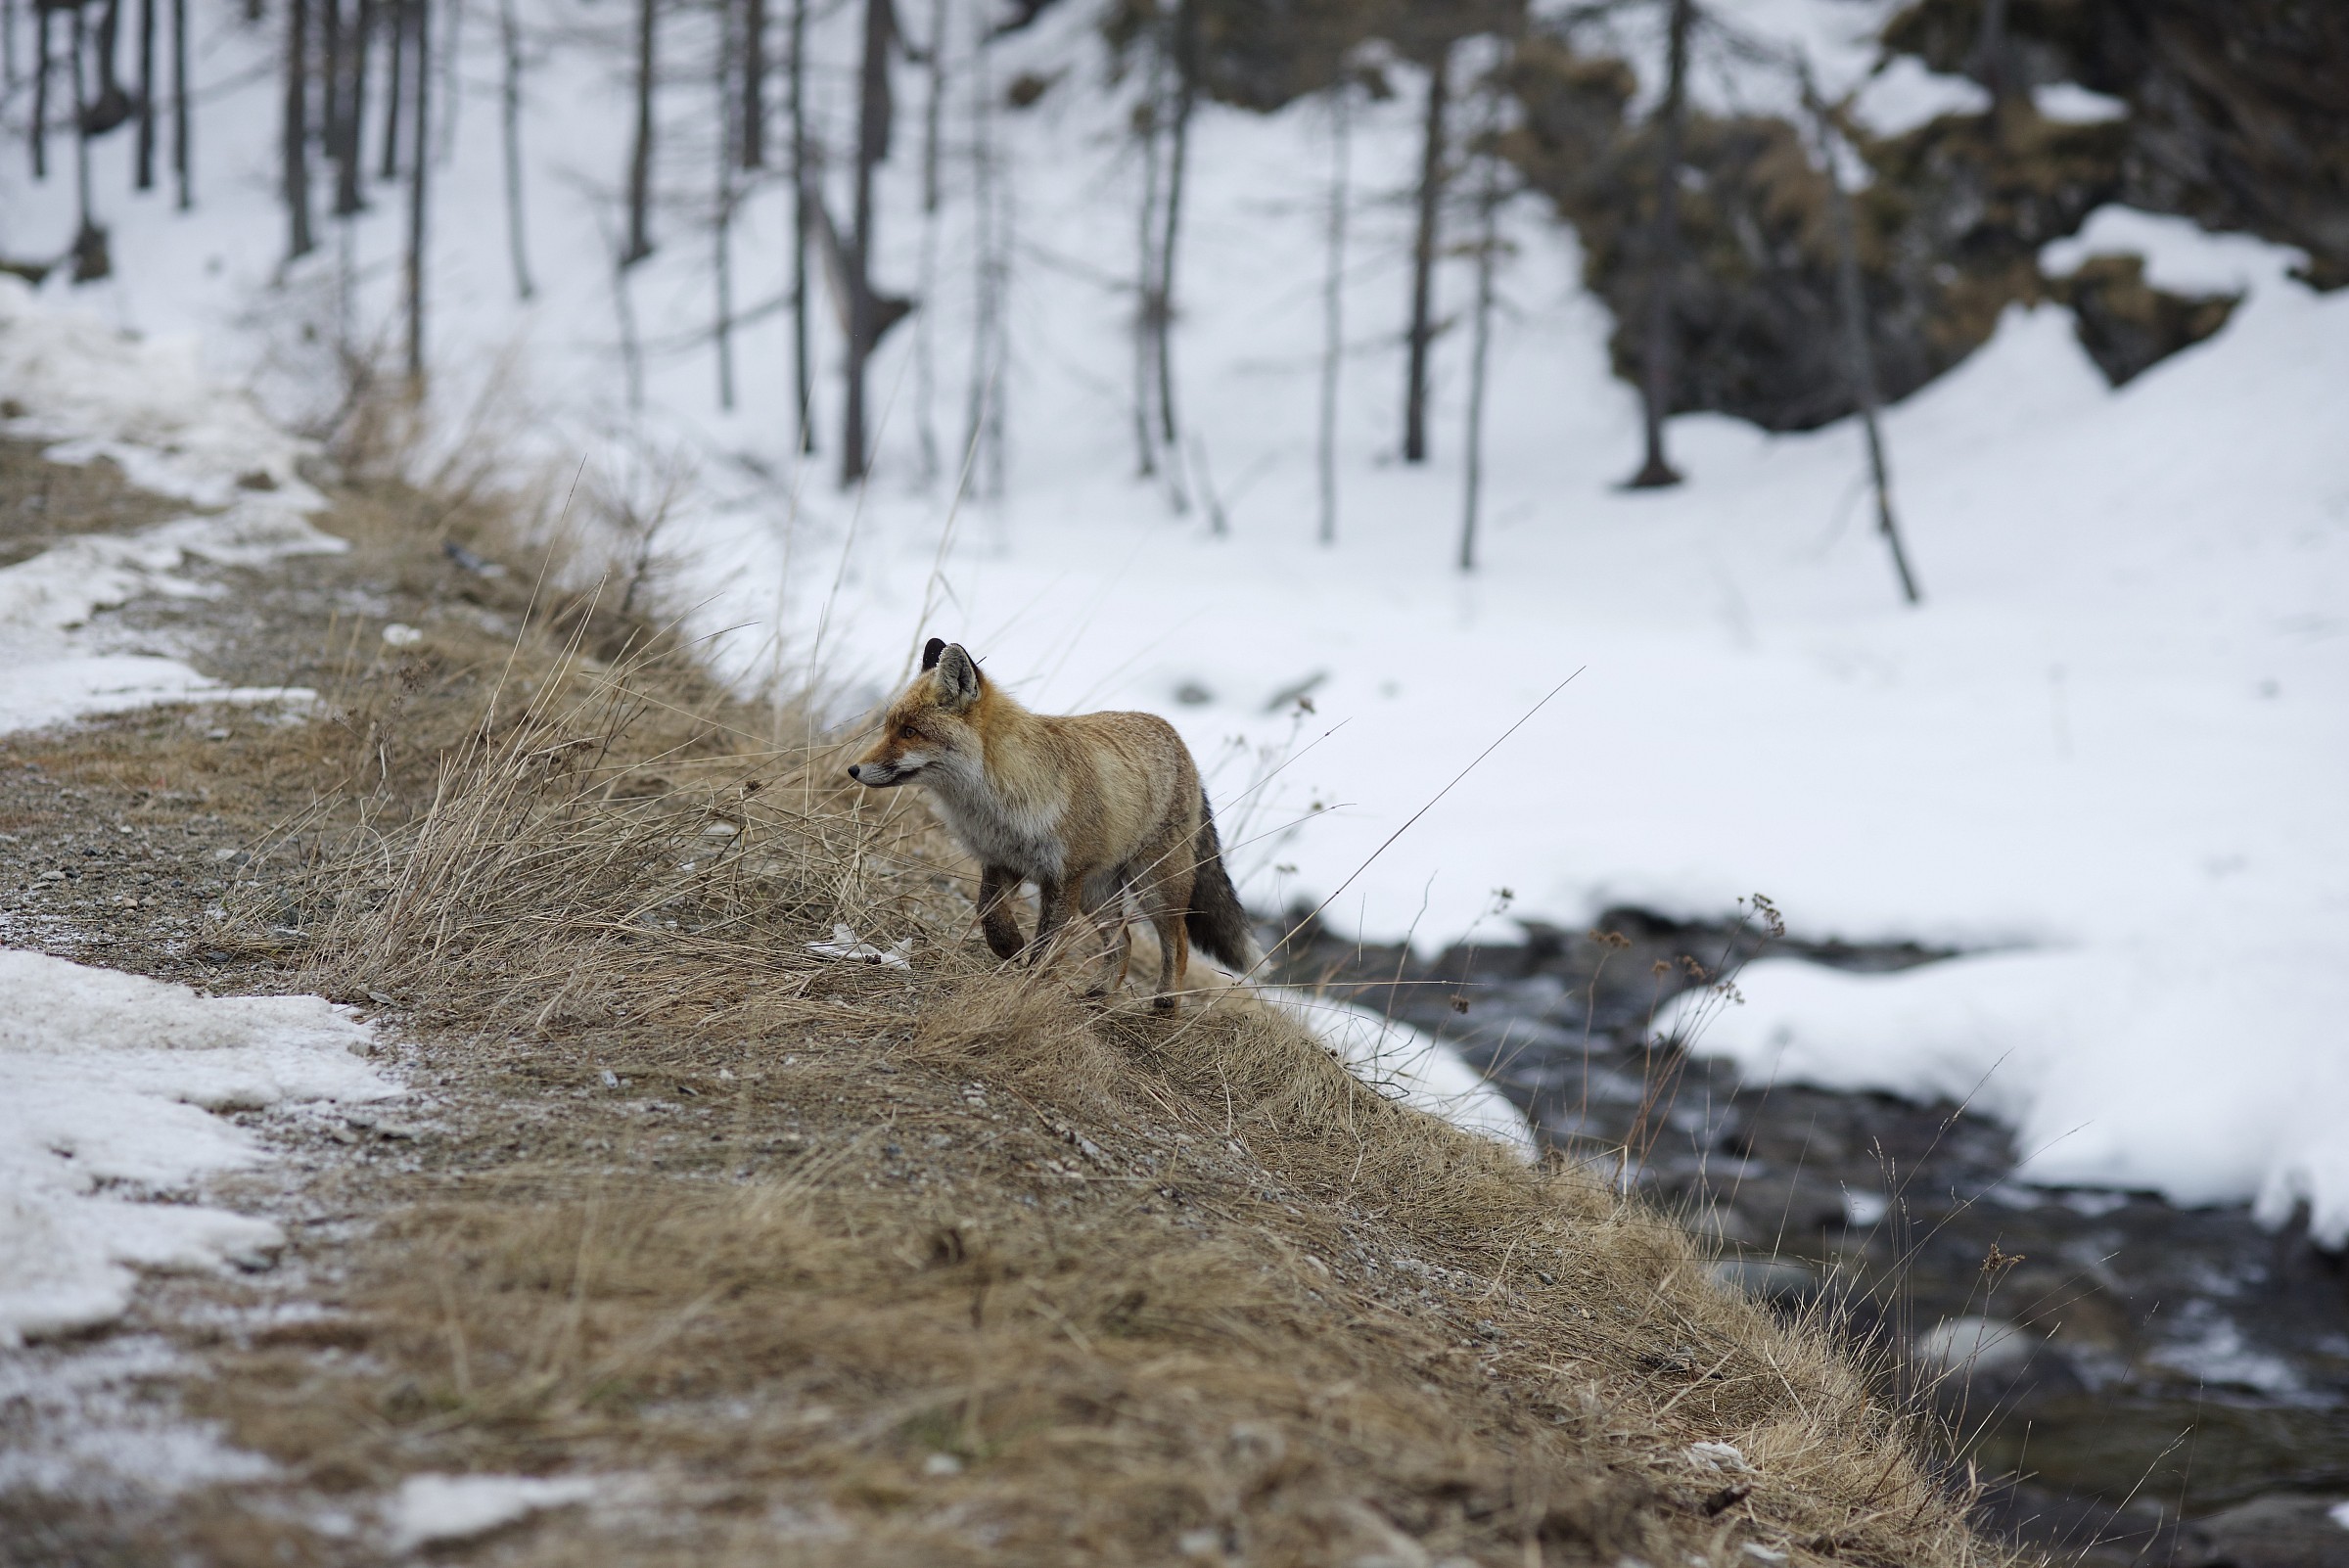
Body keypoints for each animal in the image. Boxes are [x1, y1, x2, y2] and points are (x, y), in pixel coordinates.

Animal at [847, 638, 1258, 1010]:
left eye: (909, 732)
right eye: (889, 727)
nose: (853, 769)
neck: (1000, 802)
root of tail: (1175, 736)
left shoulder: (1062, 877)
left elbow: (1046, 946)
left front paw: (1027, 987)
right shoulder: (1001, 861)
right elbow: (989, 914)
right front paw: (1011, 947)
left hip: (1155, 886)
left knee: (1178, 940)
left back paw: (1166, 1003)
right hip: (1097, 893)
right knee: (1123, 942)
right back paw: (1100, 994)